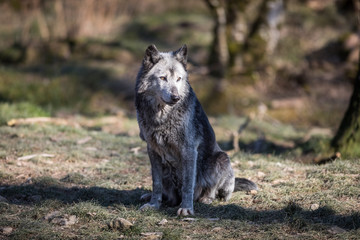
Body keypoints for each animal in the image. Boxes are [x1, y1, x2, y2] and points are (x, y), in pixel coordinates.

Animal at [134, 44, 256, 216]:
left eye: (178, 79)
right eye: (163, 78)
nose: (176, 97)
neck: (162, 117)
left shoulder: (189, 150)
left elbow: (187, 184)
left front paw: (186, 208)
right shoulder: (152, 149)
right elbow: (156, 183)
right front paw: (153, 204)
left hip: (221, 159)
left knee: (213, 191)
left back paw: (206, 199)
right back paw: (152, 197)